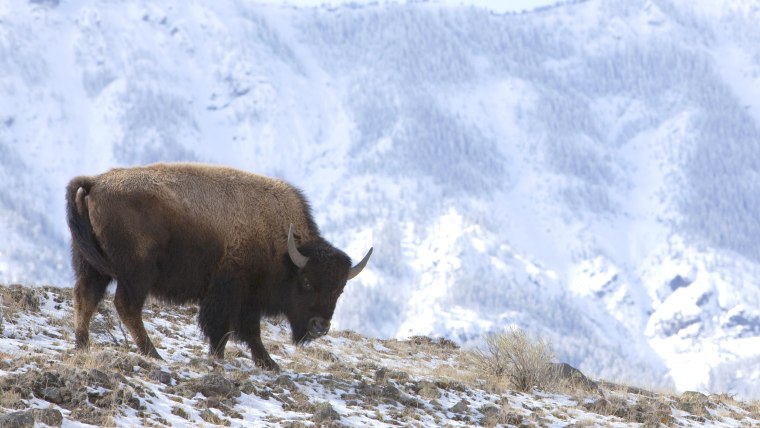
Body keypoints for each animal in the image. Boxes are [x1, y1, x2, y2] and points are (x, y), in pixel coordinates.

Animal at [64, 162, 372, 370]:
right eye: (306, 281)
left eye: (340, 290)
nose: (320, 326)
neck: (283, 246)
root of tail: (95, 182)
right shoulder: (231, 290)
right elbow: (227, 328)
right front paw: (225, 358)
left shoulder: (247, 299)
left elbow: (248, 331)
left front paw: (268, 363)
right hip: (136, 274)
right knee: (126, 307)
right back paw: (152, 353)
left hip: (91, 267)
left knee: (85, 298)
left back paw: (82, 345)